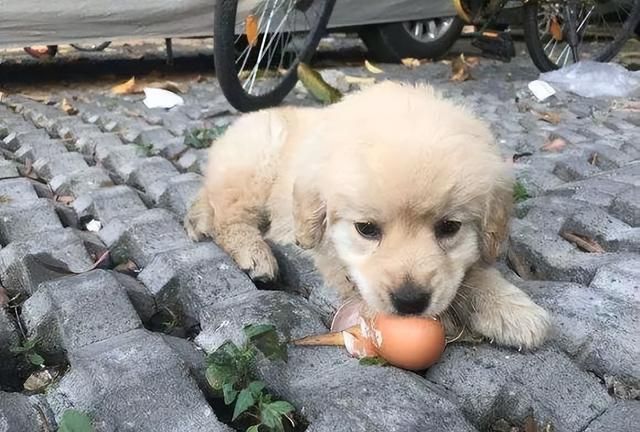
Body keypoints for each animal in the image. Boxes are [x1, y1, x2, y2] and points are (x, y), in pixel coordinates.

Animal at [185, 82, 552, 348]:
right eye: (366, 229)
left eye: (449, 227)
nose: (409, 302)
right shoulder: (329, 250)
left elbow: (471, 272)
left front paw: (510, 309)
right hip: (256, 161)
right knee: (227, 215)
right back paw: (255, 253)